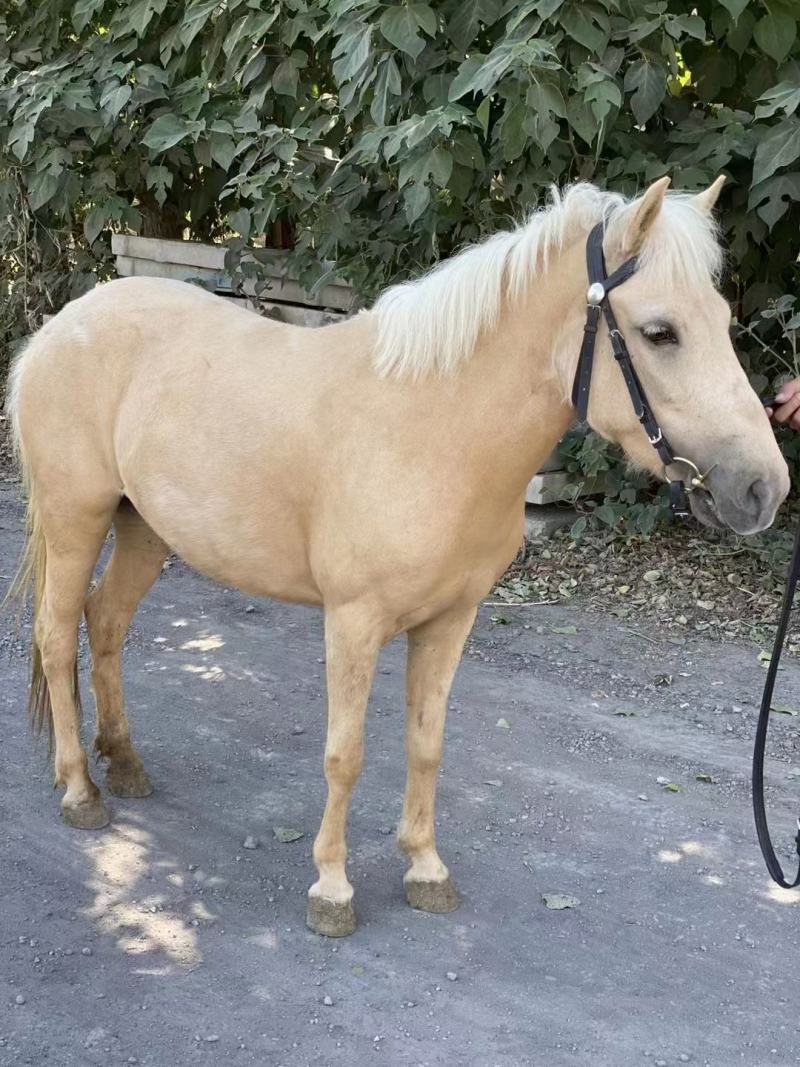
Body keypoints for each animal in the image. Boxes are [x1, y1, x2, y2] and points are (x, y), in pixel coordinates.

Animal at [5, 175, 789, 937]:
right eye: (660, 332)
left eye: (721, 319)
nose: (765, 487)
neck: (432, 428)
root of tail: (58, 328)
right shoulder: (353, 621)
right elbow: (344, 753)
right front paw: (332, 889)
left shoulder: (450, 621)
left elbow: (425, 744)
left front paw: (426, 870)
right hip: (78, 520)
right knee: (56, 634)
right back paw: (80, 789)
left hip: (144, 528)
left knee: (105, 623)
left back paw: (124, 762)